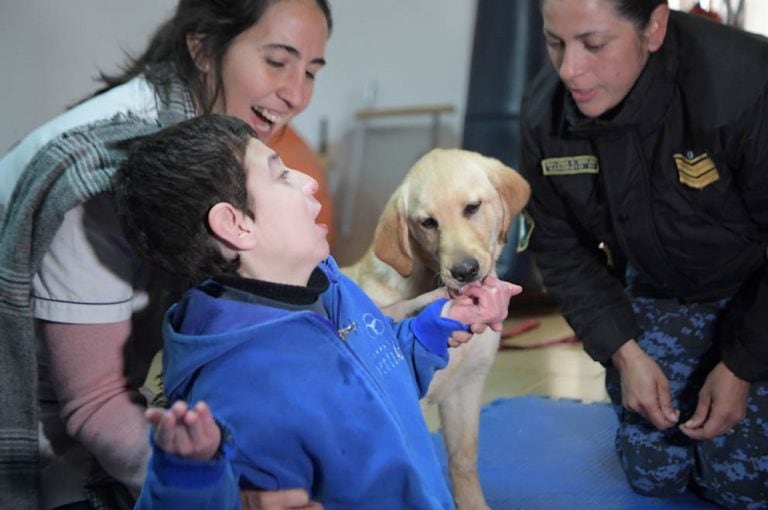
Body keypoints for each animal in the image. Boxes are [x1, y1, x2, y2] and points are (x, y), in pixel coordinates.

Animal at [342, 148, 528, 510]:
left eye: (472, 208)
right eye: (428, 223)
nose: (464, 271)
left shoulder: (465, 388)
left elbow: (463, 460)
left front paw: (473, 505)